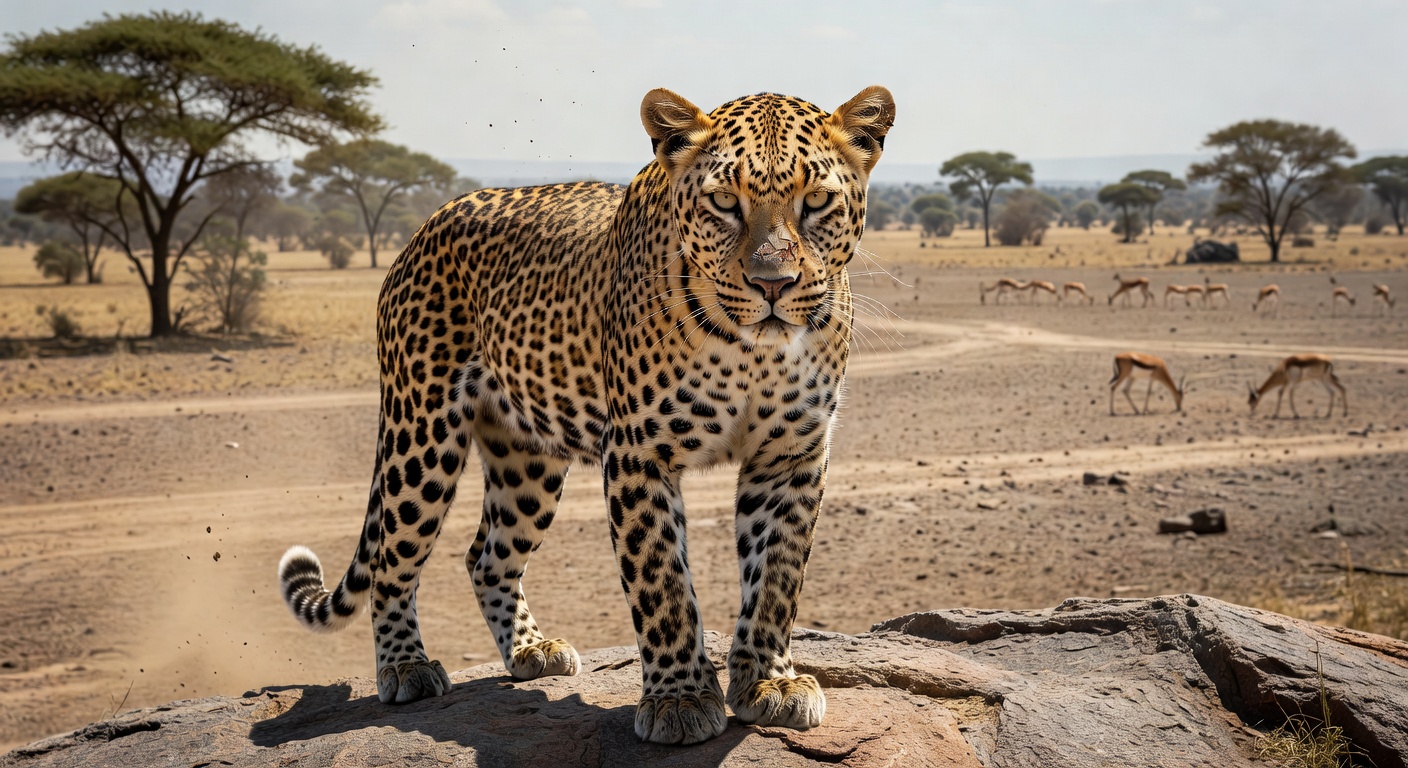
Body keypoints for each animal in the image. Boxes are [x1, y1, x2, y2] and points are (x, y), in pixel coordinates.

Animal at [278, 85, 894, 745]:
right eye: (725, 202)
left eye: (817, 201)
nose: (772, 284)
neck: (753, 353)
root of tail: (427, 222)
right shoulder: (639, 453)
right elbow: (661, 582)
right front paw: (679, 700)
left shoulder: (791, 455)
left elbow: (777, 575)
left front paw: (769, 683)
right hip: (420, 433)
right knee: (394, 555)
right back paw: (405, 667)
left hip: (527, 461)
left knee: (487, 555)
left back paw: (530, 651)